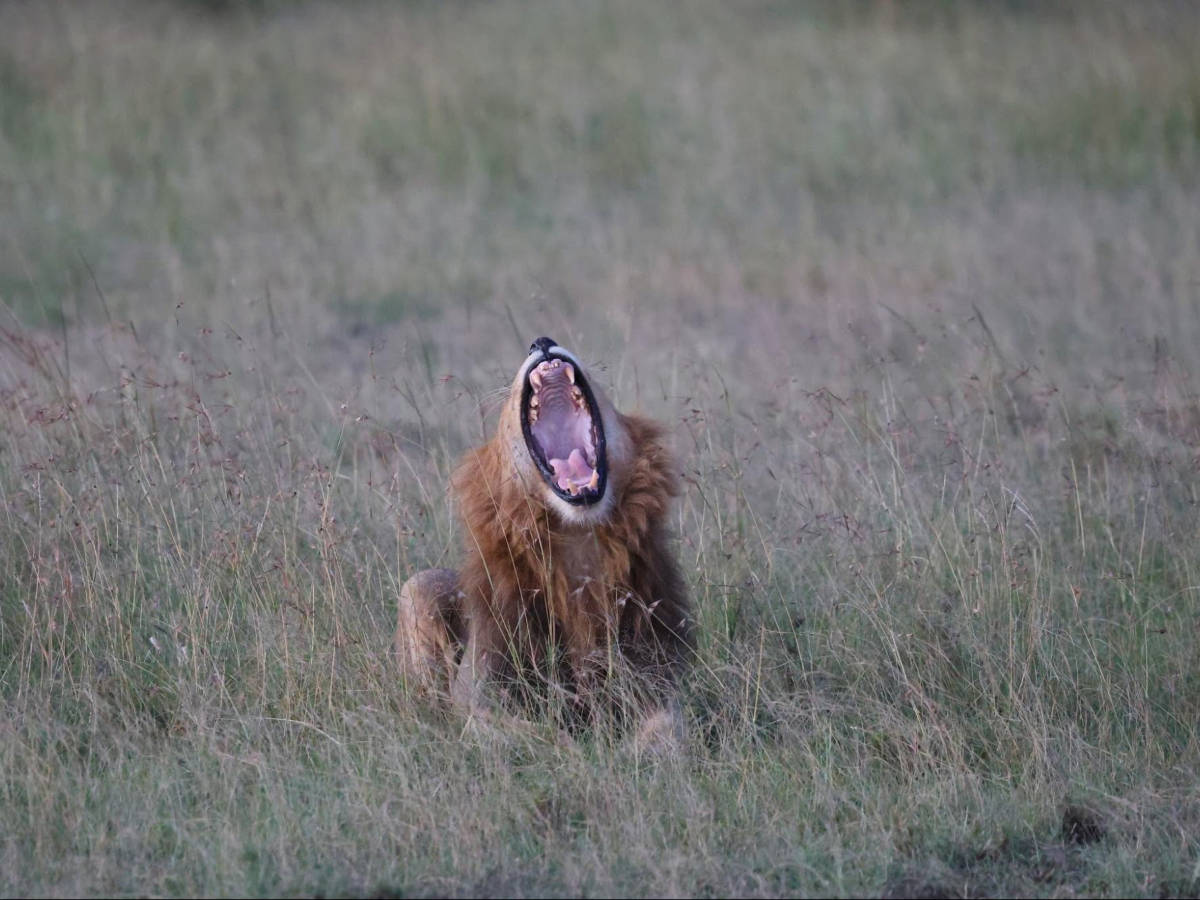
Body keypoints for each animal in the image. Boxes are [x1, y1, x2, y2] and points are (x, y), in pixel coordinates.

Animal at [395, 336, 692, 740]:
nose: (542, 342)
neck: (579, 540)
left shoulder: (661, 678)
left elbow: (667, 727)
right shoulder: (480, 697)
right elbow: (542, 736)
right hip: (419, 586)